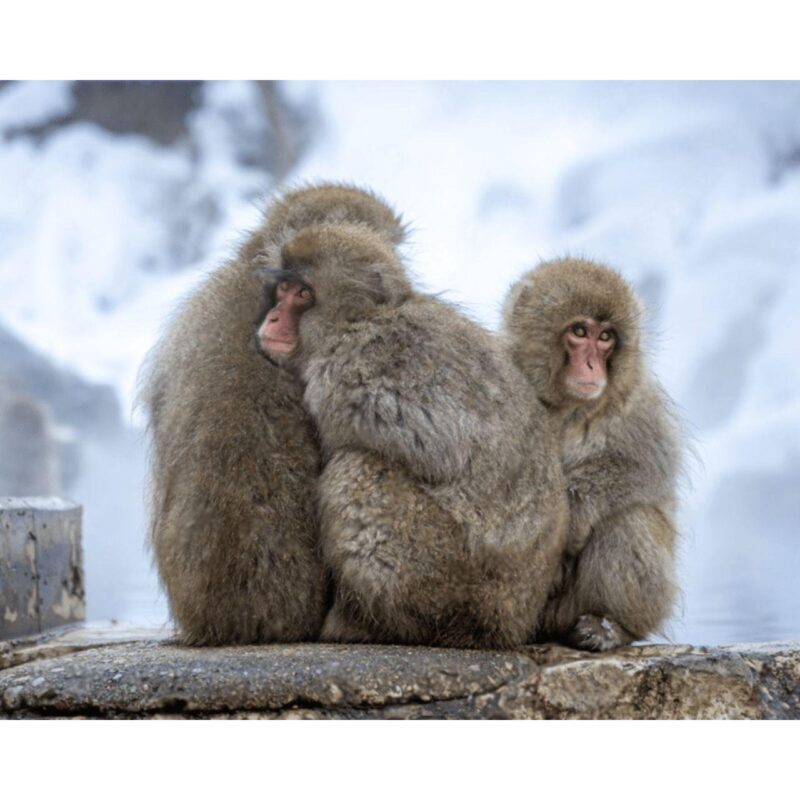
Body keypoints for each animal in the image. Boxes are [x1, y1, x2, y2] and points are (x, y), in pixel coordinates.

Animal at [256, 223, 568, 649]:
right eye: (283, 289)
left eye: (303, 294)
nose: (272, 318)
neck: (357, 321)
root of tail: (511, 622)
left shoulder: (344, 375)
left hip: (446, 576)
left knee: (357, 470)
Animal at [501, 257, 683, 651]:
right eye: (580, 331)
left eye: (605, 338)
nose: (591, 366)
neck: (566, 406)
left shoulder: (639, 402)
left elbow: (644, 467)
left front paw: (572, 517)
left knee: (629, 518)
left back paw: (610, 626)